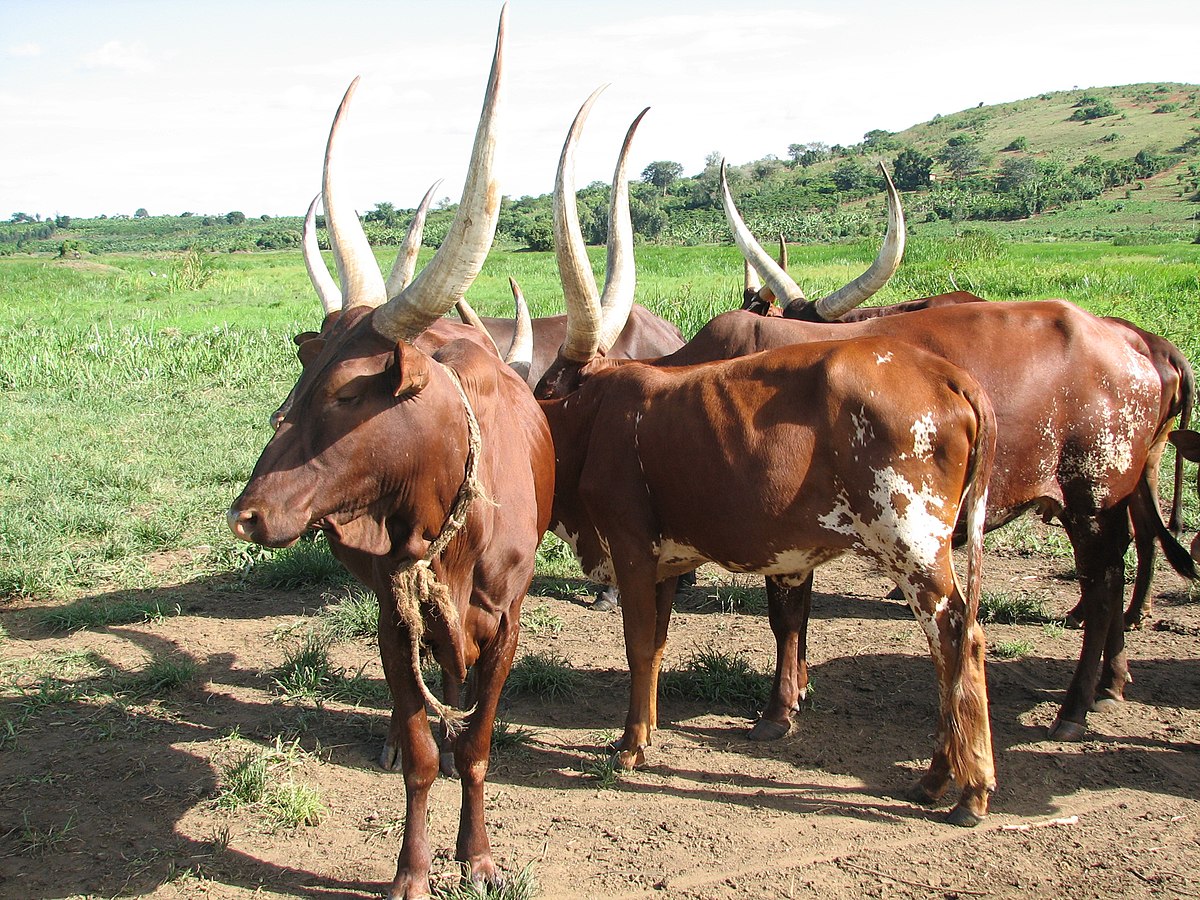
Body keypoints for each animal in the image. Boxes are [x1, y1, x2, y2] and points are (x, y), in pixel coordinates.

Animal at [227, 13, 556, 897]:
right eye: (303, 376)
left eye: (347, 392)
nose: (247, 515)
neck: (451, 527)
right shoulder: (390, 616)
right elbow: (419, 754)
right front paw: (412, 869)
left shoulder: (506, 626)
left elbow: (476, 745)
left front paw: (476, 854)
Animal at [533, 95, 999, 826]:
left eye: (545, 389)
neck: (597, 412)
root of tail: (947, 376)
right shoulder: (669, 561)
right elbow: (657, 646)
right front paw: (648, 730)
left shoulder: (632, 548)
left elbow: (637, 643)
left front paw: (629, 748)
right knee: (957, 639)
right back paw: (935, 780)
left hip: (913, 543)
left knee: (956, 636)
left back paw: (967, 791)